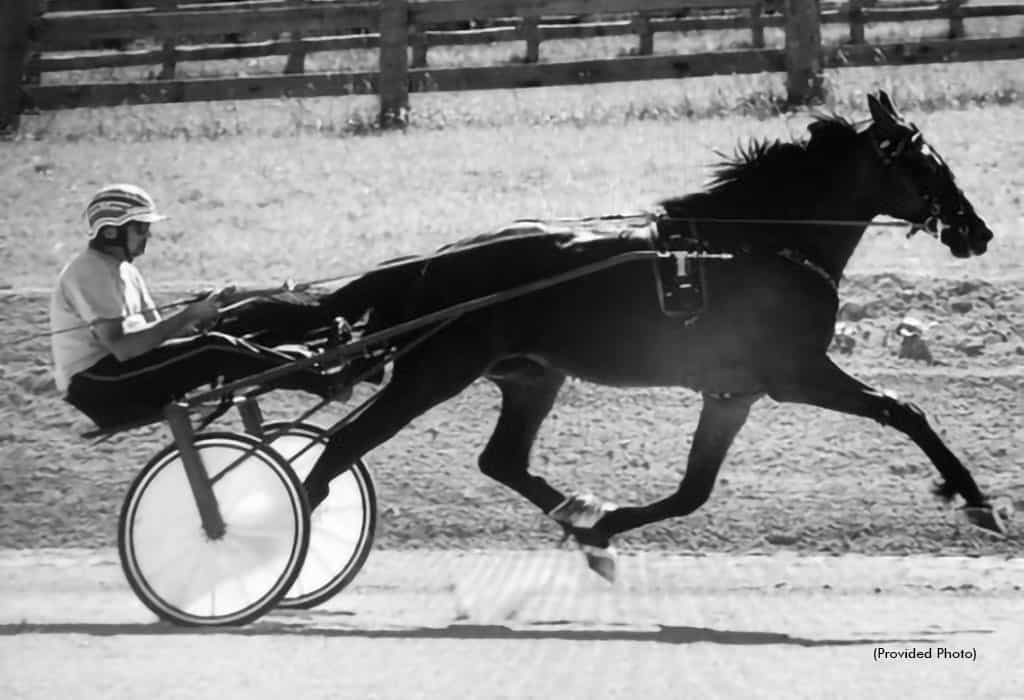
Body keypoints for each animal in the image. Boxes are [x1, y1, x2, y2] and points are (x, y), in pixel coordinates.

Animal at [224, 90, 999, 577]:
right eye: (928, 164)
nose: (980, 232)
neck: (759, 243)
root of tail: (430, 263)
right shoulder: (796, 375)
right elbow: (906, 410)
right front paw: (976, 499)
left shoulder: (732, 394)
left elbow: (692, 491)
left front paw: (600, 528)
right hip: (432, 373)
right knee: (339, 451)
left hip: (532, 376)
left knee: (501, 460)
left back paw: (578, 521)